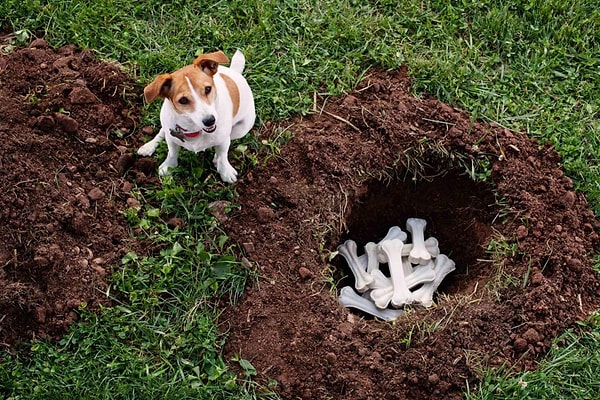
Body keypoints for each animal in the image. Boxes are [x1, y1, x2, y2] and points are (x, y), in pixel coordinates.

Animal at [137, 49, 254, 182]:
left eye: (208, 89)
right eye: (183, 100)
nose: (210, 121)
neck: (195, 129)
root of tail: (234, 71)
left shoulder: (224, 139)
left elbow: (223, 155)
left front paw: (225, 171)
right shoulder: (172, 136)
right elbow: (172, 152)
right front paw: (168, 165)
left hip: (242, 129)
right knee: (162, 131)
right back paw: (149, 146)